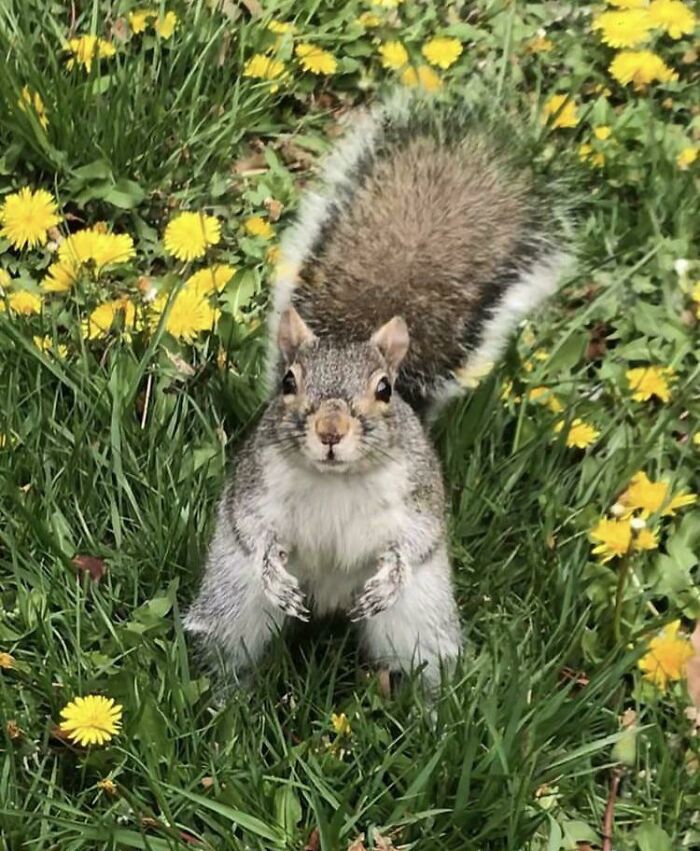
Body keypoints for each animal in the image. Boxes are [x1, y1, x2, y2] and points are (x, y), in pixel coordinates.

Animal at [183, 93, 572, 688]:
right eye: (289, 382)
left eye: (385, 389)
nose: (330, 430)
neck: (336, 480)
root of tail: (329, 604)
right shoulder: (253, 484)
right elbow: (252, 531)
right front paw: (273, 571)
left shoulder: (417, 496)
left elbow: (416, 541)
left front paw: (391, 575)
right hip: (232, 599)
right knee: (232, 645)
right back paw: (226, 695)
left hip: (419, 618)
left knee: (422, 659)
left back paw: (427, 704)